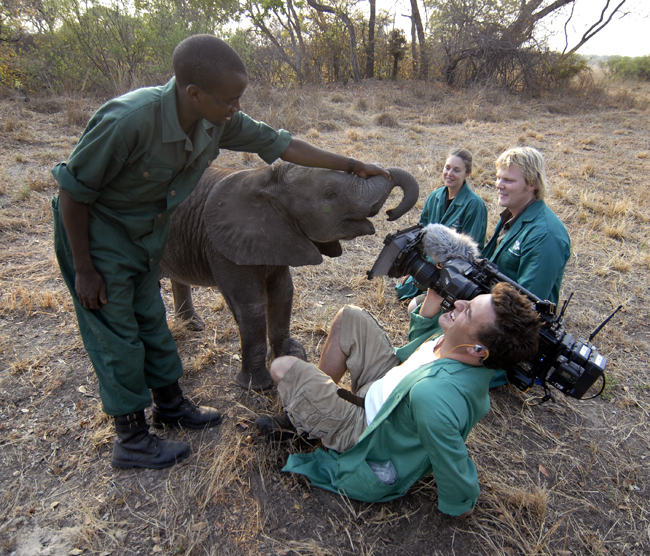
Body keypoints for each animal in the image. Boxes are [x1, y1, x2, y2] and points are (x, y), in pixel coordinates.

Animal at [159, 161, 418, 388]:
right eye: (330, 193)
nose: (390, 212)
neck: (266, 180)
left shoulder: (280, 237)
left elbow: (283, 292)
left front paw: (292, 354)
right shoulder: (223, 247)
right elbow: (250, 305)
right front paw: (258, 385)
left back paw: (192, 325)